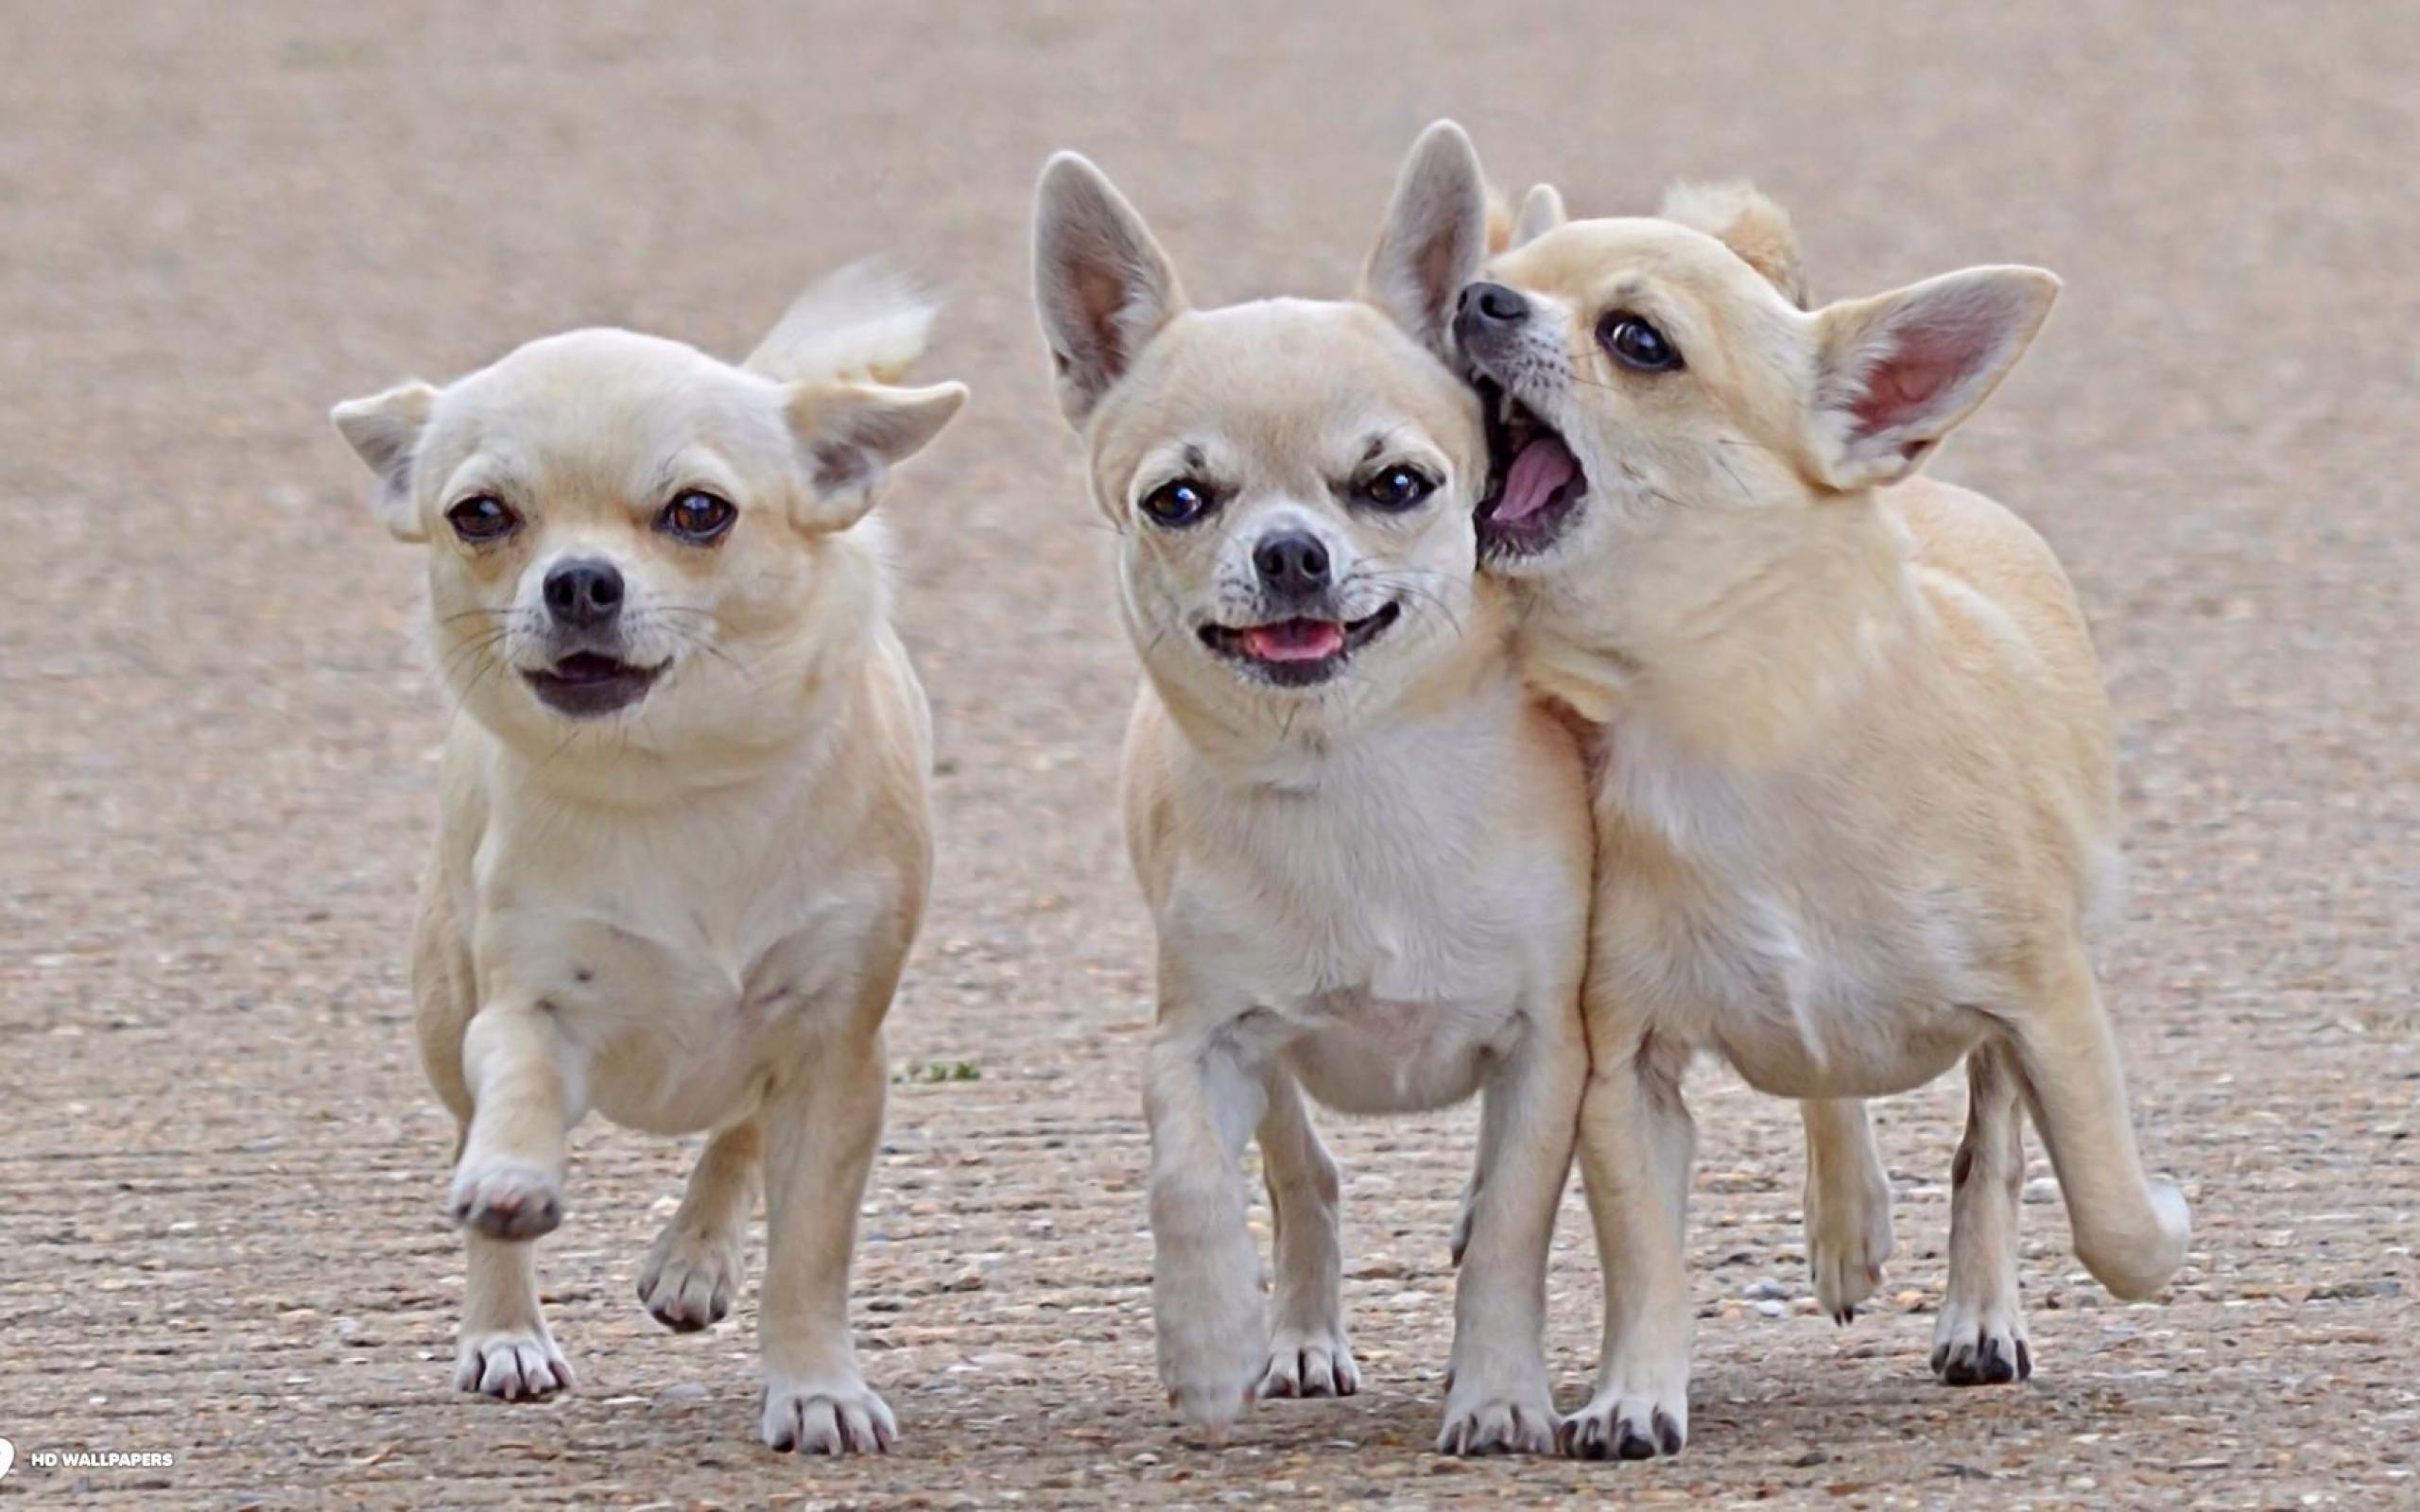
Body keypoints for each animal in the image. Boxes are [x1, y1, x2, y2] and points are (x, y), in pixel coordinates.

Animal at [330, 263, 965, 1456]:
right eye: (480, 515)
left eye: (698, 512)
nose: (580, 580)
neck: (673, 782)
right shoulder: (525, 1002)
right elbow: (520, 1084)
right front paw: (513, 1182)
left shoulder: (835, 1048)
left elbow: (808, 1252)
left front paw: (815, 1385)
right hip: (442, 1010)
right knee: (477, 1133)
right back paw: (505, 1330)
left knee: (741, 1127)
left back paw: (693, 1254)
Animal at [1030, 122, 1592, 1454]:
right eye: (1177, 499)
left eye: (1394, 484)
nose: (1291, 551)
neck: (1352, 775)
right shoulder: (1196, 1042)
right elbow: (1185, 1174)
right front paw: (1206, 1341)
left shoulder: (1547, 1046)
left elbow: (1513, 1226)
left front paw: (1498, 1392)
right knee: (1301, 1174)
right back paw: (1292, 1333)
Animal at [1452, 184, 2191, 1458]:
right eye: (1510, 270)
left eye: (1637, 340)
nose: (1476, 295)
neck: (1731, 722)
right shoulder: (1625, 1068)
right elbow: (1642, 1252)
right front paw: (1632, 1395)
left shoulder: (2048, 1006)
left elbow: (2103, 1208)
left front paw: (2162, 1218)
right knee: (1827, 1078)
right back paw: (1846, 1219)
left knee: (1989, 1144)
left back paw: (1976, 1314)